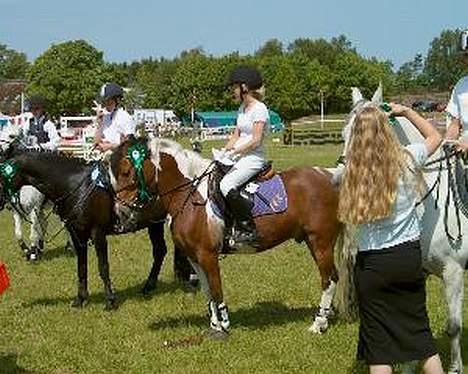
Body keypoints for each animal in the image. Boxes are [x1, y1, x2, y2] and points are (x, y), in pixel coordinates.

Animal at [109, 139, 344, 338]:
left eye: (126, 171)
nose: (120, 213)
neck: (190, 195)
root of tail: (330, 175)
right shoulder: (194, 257)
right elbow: (206, 291)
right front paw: (214, 325)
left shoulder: (208, 255)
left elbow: (216, 288)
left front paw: (223, 326)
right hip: (312, 241)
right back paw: (327, 316)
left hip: (320, 242)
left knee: (329, 279)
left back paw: (318, 324)